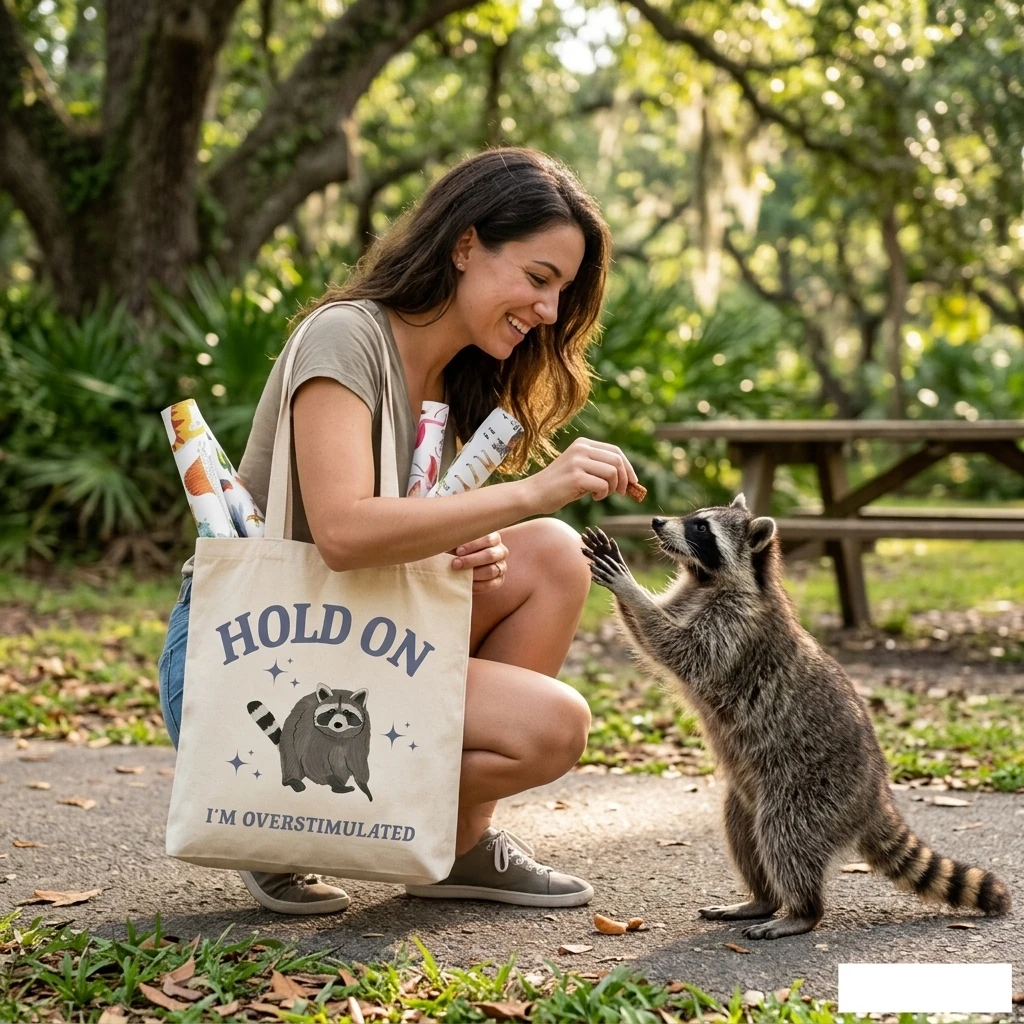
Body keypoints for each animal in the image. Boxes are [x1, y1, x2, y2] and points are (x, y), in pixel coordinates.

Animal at [581, 495, 1010, 939]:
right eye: (693, 518)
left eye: (701, 528)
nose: (657, 521)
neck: (710, 581)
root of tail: (875, 794)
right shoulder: (694, 597)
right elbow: (650, 636)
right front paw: (626, 593)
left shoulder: (735, 627)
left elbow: (678, 648)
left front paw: (630, 589)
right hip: (750, 795)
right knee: (743, 833)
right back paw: (762, 898)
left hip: (812, 789)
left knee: (785, 836)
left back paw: (802, 910)